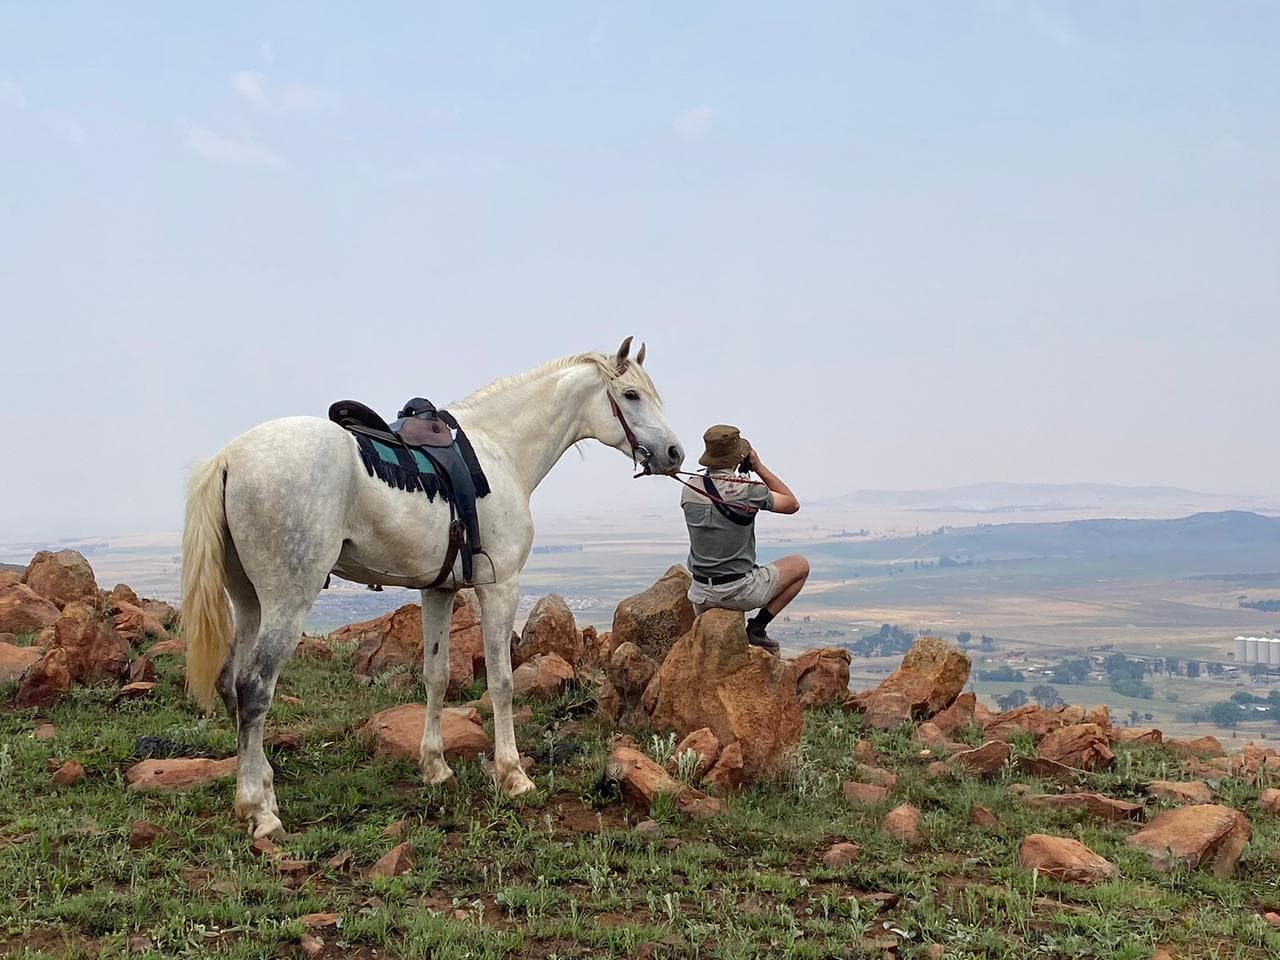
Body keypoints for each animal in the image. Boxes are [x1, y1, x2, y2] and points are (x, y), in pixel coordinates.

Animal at [180, 337, 684, 838]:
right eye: (631, 395)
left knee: (231, 684)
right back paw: (260, 812)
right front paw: (513, 775)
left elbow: (436, 677)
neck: (501, 451)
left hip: (249, 601)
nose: (675, 453)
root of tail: (230, 458)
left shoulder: (438, 590)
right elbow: (501, 682)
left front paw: (435, 768)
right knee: (254, 688)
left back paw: (260, 790)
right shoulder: (501, 586)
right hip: (287, 602)